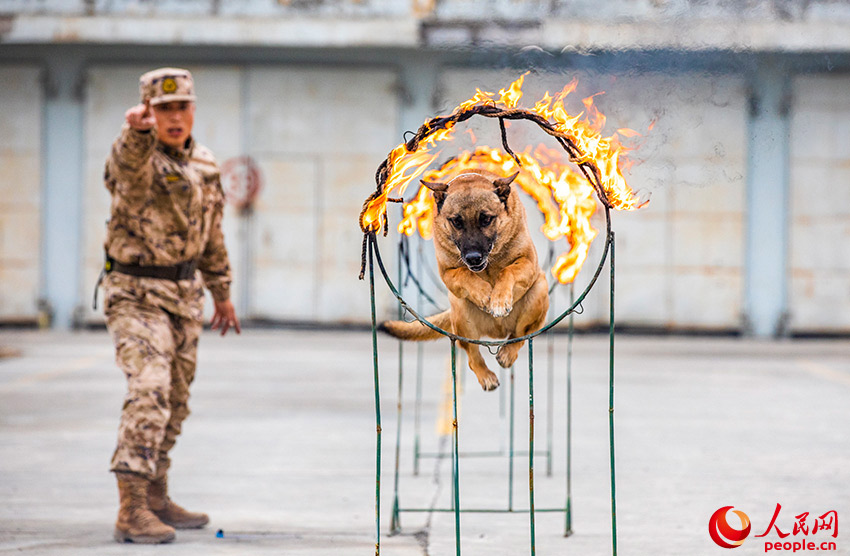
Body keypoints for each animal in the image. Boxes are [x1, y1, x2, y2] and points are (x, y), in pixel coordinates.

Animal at [380, 169, 548, 390]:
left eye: (486, 219)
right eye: (457, 222)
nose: (473, 258)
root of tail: (497, 332)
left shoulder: (528, 262)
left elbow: (507, 271)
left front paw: (498, 300)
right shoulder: (448, 272)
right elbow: (464, 273)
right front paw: (485, 294)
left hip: (539, 290)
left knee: (520, 335)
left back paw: (507, 353)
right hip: (460, 310)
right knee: (471, 353)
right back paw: (485, 376)